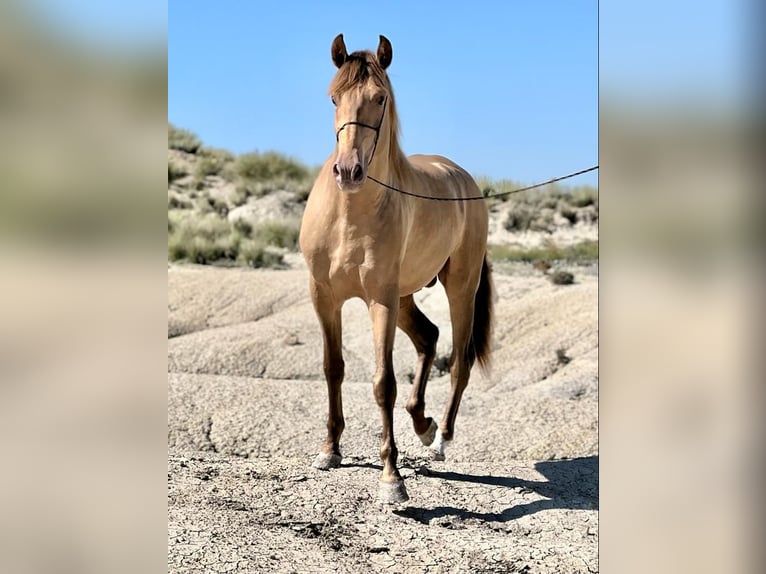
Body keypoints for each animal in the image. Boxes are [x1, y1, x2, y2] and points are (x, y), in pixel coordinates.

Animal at [300, 33, 492, 506]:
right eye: (334, 97)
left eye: (380, 97)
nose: (349, 171)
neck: (349, 215)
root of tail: (461, 176)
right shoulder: (324, 298)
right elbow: (333, 369)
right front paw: (330, 450)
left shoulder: (379, 301)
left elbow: (383, 382)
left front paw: (391, 477)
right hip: (405, 297)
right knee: (428, 337)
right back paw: (421, 423)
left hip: (458, 289)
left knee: (458, 361)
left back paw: (439, 438)